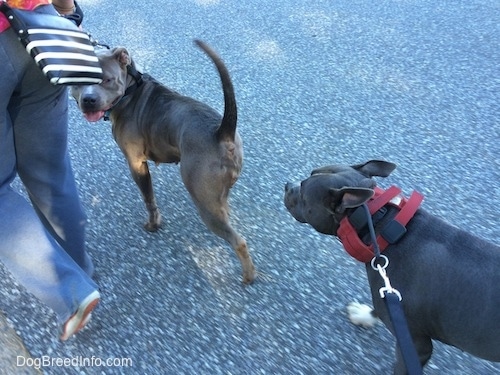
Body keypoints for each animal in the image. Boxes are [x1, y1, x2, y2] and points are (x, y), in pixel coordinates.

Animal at [286, 161, 500, 374]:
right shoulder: (390, 294)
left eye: (303, 193)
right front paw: (364, 315)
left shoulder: (415, 345)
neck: (381, 222)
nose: (288, 185)